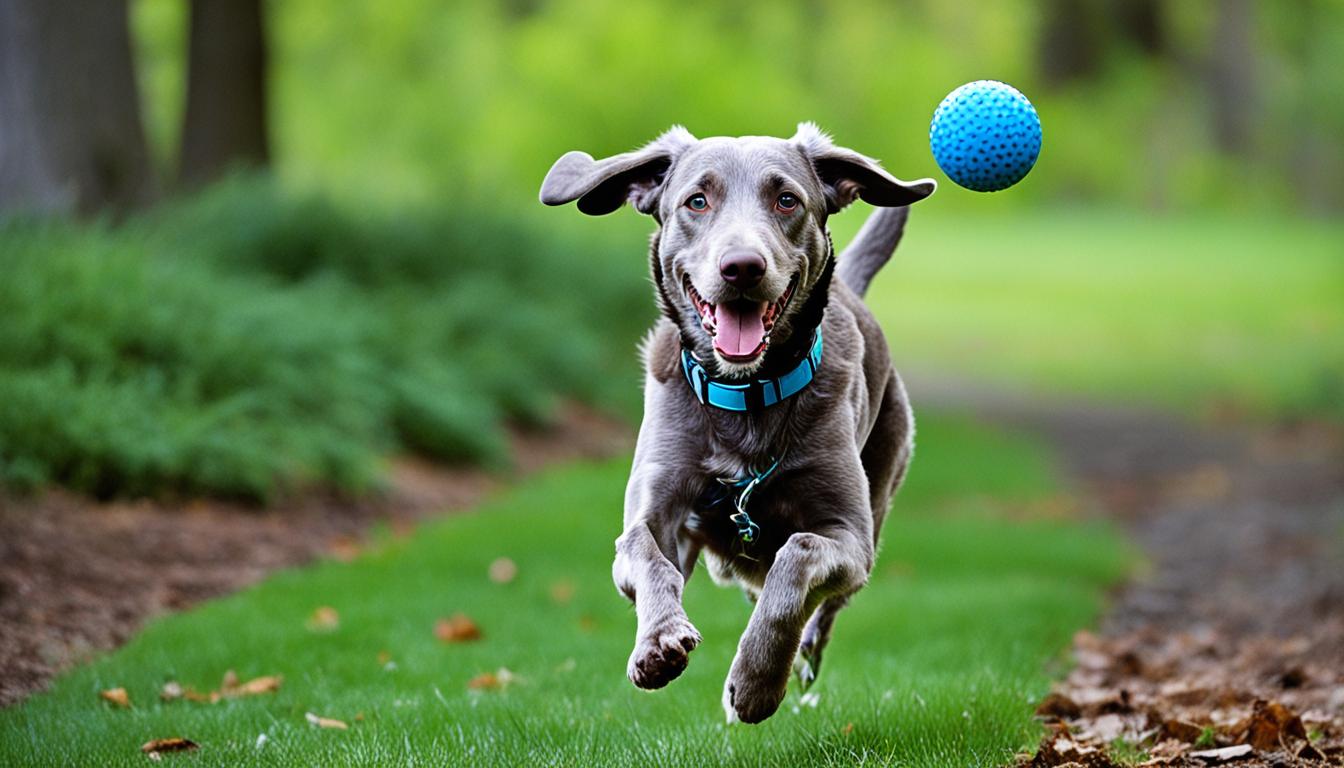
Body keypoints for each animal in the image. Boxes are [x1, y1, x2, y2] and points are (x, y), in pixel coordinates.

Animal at [534, 123, 935, 726]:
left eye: (787, 200)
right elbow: (645, 553)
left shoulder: (849, 535)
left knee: (818, 603)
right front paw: (658, 643)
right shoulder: (657, 503)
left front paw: (754, 684)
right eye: (696, 201)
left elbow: (797, 560)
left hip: (882, 481)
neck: (745, 395)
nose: (742, 266)